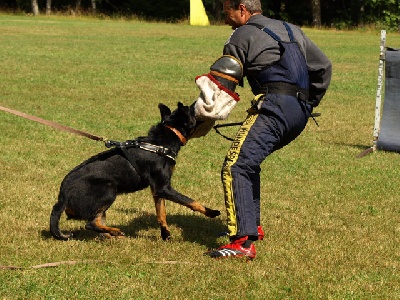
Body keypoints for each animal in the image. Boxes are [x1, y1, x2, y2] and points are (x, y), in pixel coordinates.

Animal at [49, 102, 222, 240]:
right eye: (192, 110)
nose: (199, 104)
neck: (163, 141)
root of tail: (62, 197)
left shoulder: (157, 190)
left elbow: (161, 213)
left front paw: (165, 235)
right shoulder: (164, 188)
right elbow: (191, 202)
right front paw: (211, 212)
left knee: (96, 222)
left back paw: (110, 234)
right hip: (109, 189)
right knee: (90, 224)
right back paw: (114, 231)